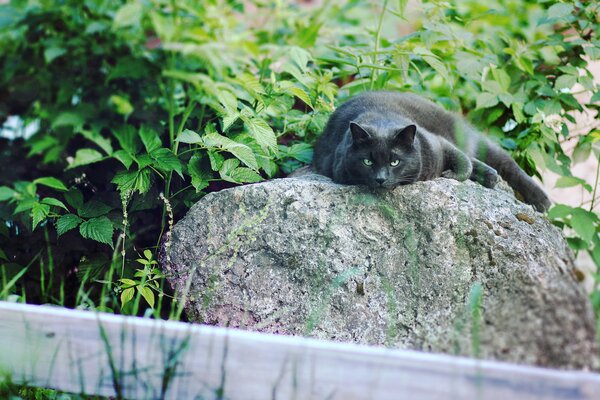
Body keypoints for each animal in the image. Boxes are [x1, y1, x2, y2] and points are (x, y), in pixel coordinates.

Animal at [314, 89, 552, 211]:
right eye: (367, 162)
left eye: (394, 161)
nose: (381, 179)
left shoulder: (438, 143)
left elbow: (463, 161)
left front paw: (453, 174)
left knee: (504, 162)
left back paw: (541, 200)